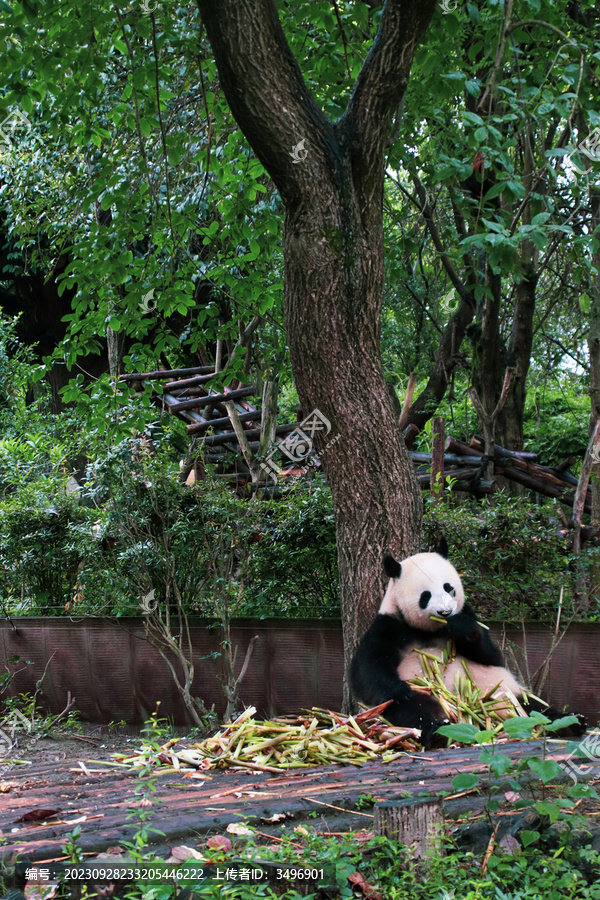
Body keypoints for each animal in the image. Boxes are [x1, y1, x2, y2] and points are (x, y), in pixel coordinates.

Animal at [350, 540, 584, 744]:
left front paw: (462, 628)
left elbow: (492, 656)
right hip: (428, 696)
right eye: (425, 595)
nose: (445, 612)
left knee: (533, 706)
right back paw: (436, 732)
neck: (432, 629)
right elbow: (368, 671)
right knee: (414, 710)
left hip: (502, 691)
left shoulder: (468, 615)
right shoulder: (390, 625)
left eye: (448, 587)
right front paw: (399, 690)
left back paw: (572, 722)